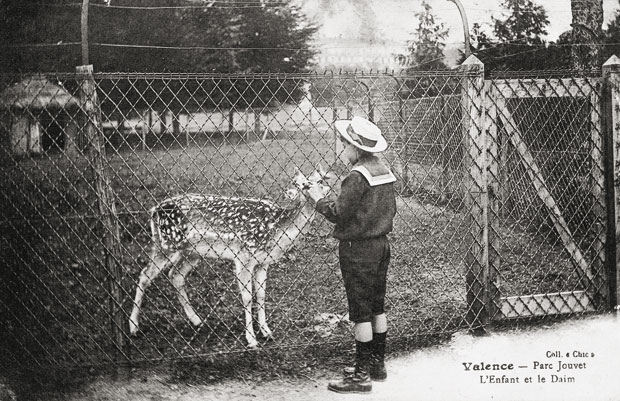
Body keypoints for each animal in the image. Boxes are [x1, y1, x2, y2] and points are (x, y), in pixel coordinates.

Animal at [129, 166, 332, 346]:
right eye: (300, 184)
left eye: (320, 181)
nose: (311, 189)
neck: (275, 230)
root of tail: (154, 209)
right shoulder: (244, 256)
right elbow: (247, 297)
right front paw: (251, 339)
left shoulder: (263, 263)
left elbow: (261, 295)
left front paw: (267, 332)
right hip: (167, 244)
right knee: (145, 275)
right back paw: (134, 327)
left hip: (191, 252)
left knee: (175, 275)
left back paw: (196, 320)